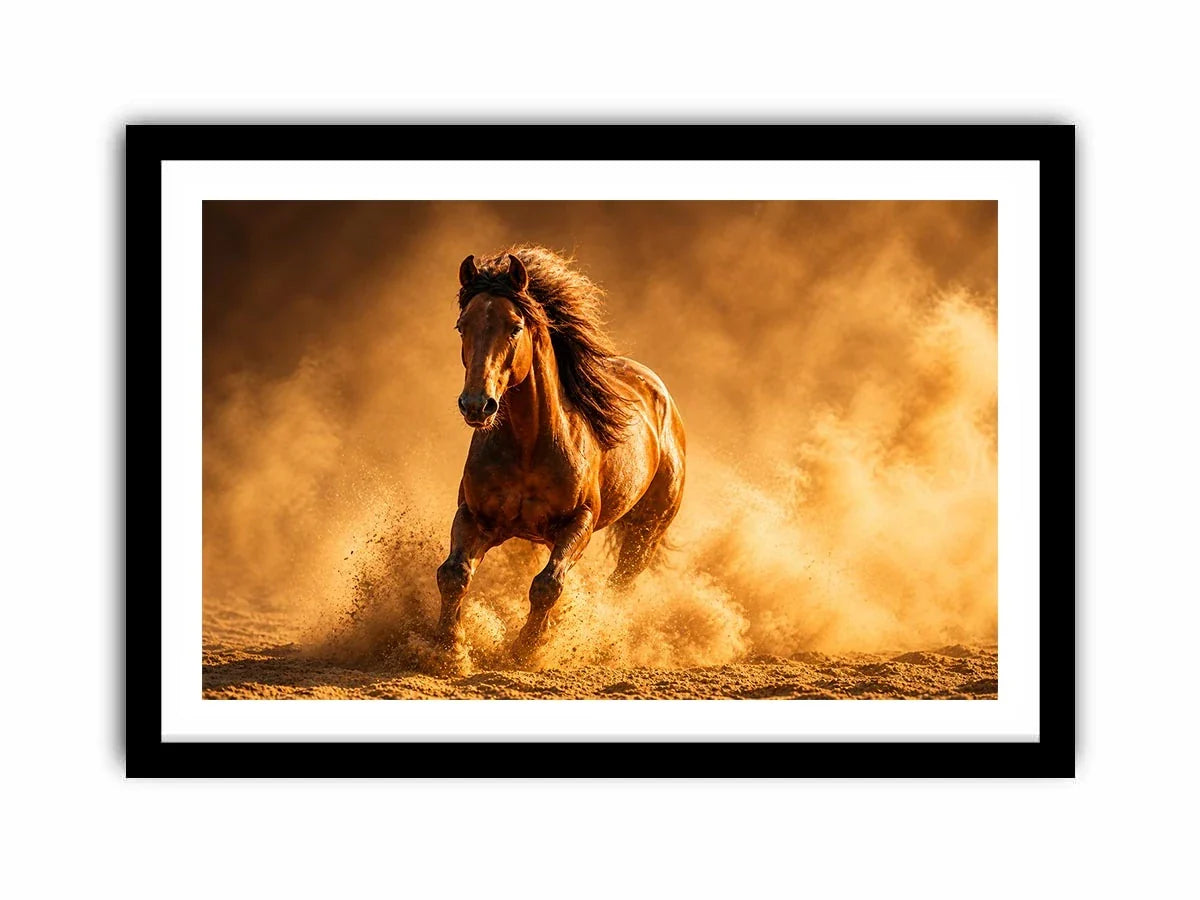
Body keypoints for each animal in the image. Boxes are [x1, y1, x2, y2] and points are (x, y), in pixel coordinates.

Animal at [435, 246, 687, 663]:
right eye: (461, 326)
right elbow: (453, 574)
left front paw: (526, 648)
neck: (528, 445)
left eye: (514, 326)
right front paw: (448, 648)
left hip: (645, 532)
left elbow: (547, 584)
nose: (476, 405)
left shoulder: (578, 522)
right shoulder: (475, 517)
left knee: (619, 585)